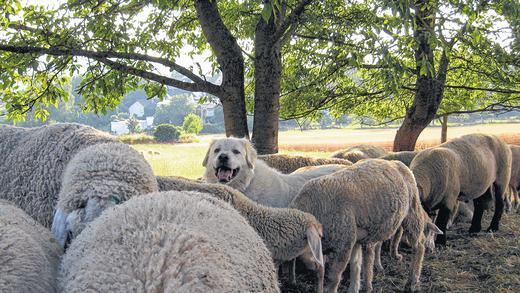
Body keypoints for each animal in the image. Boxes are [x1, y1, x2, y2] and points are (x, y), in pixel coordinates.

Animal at [288, 160, 438, 292]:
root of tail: (397, 163)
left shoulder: (345, 243)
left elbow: (334, 277)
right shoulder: (351, 240)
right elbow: (352, 267)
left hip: (412, 212)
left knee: (419, 245)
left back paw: (412, 281)